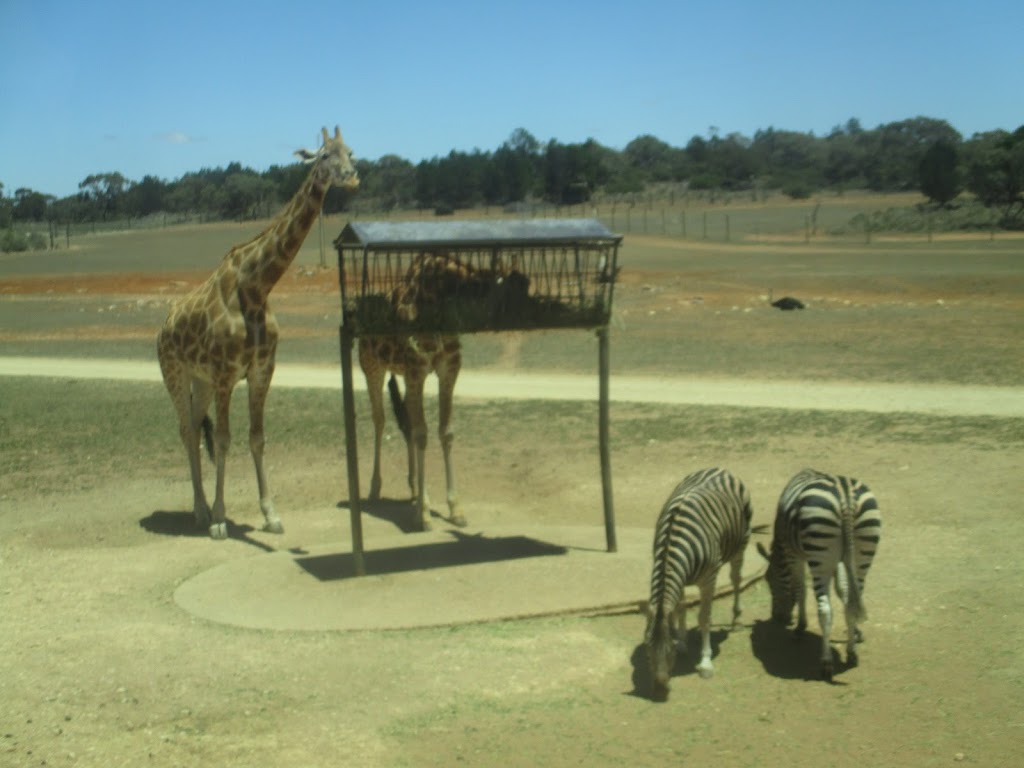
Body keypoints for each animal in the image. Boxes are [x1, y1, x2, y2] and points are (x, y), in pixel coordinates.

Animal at [153, 124, 358, 540]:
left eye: (351, 152)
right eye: (324, 155)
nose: (350, 176)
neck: (257, 286)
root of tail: (164, 325)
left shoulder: (261, 370)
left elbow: (257, 438)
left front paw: (271, 514)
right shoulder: (225, 374)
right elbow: (224, 440)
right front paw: (220, 519)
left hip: (200, 380)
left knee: (194, 427)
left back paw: (200, 509)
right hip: (175, 373)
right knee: (185, 430)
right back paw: (200, 511)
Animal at [643, 468, 757, 704]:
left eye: (669, 652)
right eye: (648, 651)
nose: (659, 692)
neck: (672, 543)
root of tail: (721, 468)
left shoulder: (709, 579)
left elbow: (704, 618)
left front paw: (705, 663)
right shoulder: (678, 579)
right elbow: (680, 609)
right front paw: (683, 641)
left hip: (742, 543)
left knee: (736, 579)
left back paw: (737, 620)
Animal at [757, 473, 884, 684]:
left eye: (770, 581)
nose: (777, 618)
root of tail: (846, 497)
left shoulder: (794, 554)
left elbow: (800, 589)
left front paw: (800, 627)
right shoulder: (839, 561)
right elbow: (844, 592)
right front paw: (856, 632)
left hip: (819, 555)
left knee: (825, 611)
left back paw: (826, 664)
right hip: (862, 552)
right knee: (852, 602)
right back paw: (851, 654)